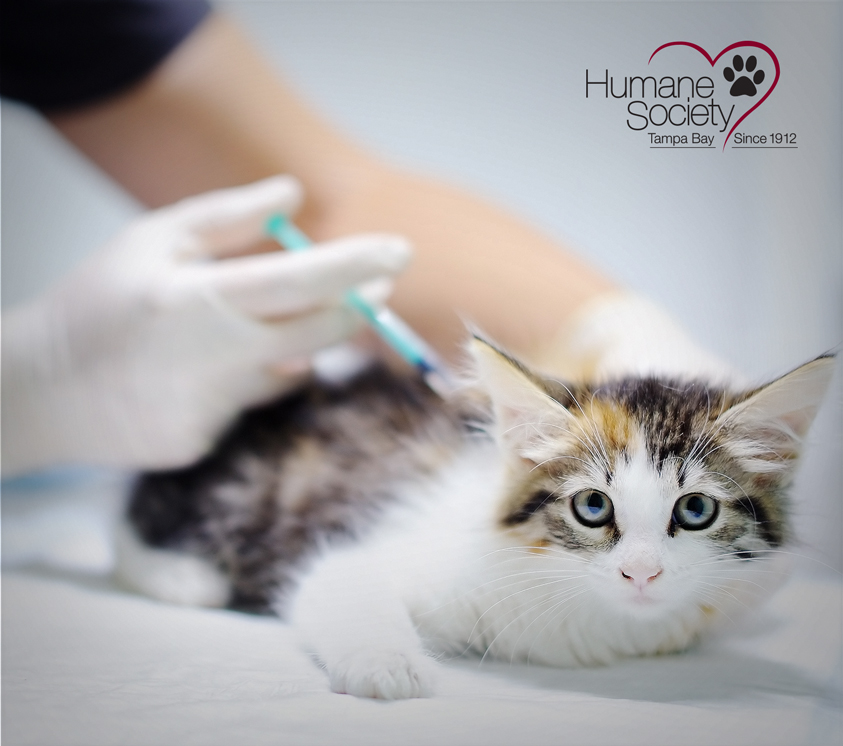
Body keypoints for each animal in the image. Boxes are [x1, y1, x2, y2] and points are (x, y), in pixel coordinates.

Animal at [115, 338, 836, 696]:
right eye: (593, 506)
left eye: (694, 510)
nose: (641, 574)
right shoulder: (361, 550)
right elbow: (343, 590)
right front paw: (388, 667)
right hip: (229, 492)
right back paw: (183, 577)